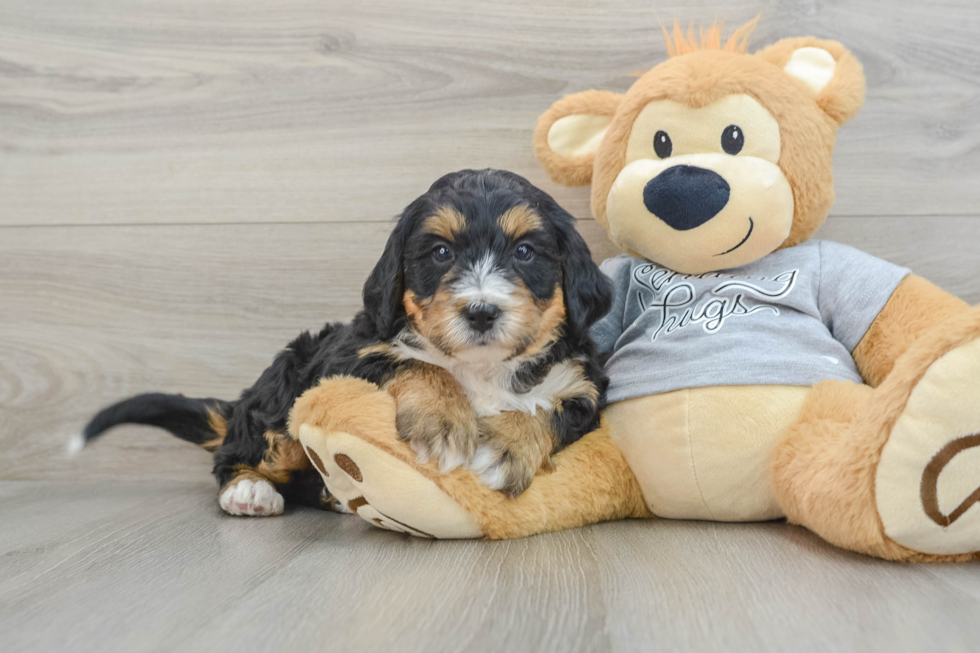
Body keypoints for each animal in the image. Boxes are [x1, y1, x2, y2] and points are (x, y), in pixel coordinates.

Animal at [78, 168, 612, 516]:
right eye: (441, 253)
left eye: (525, 252)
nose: (481, 311)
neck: (480, 367)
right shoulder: (351, 354)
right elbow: (418, 364)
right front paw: (442, 419)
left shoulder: (584, 388)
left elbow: (546, 411)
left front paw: (504, 450)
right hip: (285, 392)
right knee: (241, 453)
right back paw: (249, 491)